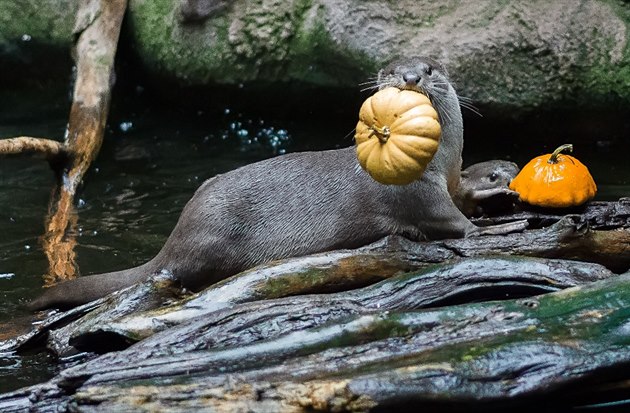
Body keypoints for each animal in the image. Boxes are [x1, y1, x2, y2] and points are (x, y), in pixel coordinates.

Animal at [29, 57, 528, 308]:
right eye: (390, 70)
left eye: (428, 70)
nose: (408, 77)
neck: (441, 161)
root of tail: (176, 237)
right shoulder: (417, 192)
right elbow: (451, 220)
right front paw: (492, 228)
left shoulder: (448, 177)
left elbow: (463, 195)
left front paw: (493, 184)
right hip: (214, 239)